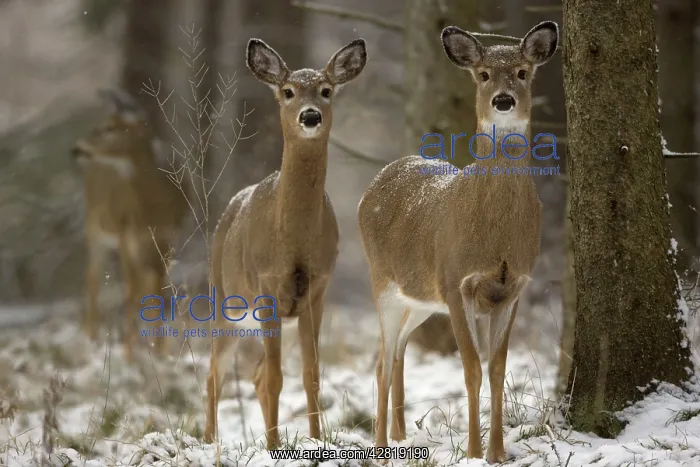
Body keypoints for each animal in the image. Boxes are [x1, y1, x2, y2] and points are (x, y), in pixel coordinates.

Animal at [72, 89, 188, 362]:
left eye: (110, 127)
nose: (77, 148)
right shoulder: (127, 237)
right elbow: (132, 292)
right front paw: (129, 354)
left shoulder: (168, 239)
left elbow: (157, 292)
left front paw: (159, 352)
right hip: (96, 230)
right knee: (93, 280)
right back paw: (92, 339)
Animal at [203, 38, 367, 448]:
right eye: (288, 91)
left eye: (326, 90)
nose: (310, 116)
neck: (294, 241)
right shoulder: (267, 286)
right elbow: (278, 379)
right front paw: (275, 448)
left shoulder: (318, 290)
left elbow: (311, 376)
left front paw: (315, 442)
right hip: (225, 301)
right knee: (215, 374)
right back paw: (210, 441)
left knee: (254, 375)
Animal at [357, 21, 558, 463]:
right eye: (483, 74)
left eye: (522, 72)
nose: (503, 100)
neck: (496, 234)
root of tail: (381, 178)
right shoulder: (455, 282)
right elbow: (471, 369)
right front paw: (472, 450)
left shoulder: (513, 287)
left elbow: (498, 369)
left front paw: (497, 452)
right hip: (382, 281)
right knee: (381, 361)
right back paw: (381, 445)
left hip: (419, 297)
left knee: (400, 350)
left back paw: (400, 434)